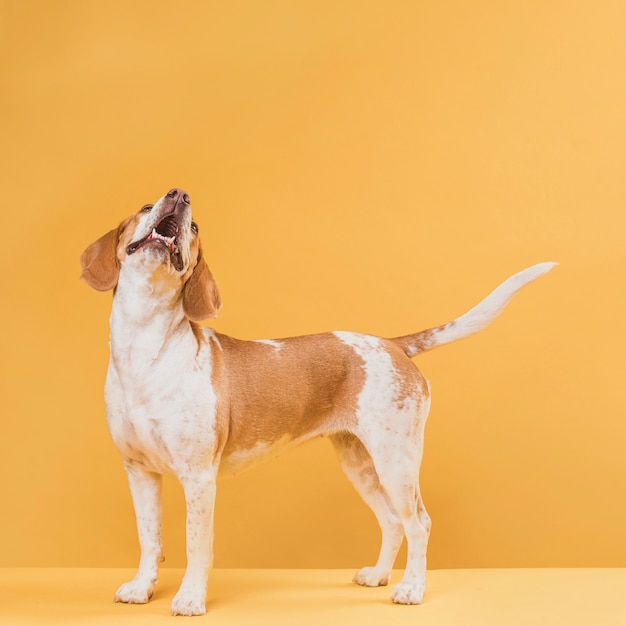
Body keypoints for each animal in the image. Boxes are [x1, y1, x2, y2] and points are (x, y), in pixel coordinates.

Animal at [80, 186, 552, 616]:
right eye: (146, 205)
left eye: (194, 228)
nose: (179, 196)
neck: (144, 348)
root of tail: (392, 344)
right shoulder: (139, 472)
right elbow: (149, 538)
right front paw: (142, 588)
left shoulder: (198, 478)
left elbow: (197, 544)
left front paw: (191, 599)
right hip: (361, 464)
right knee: (392, 522)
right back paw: (379, 575)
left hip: (396, 461)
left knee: (418, 523)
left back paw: (411, 589)